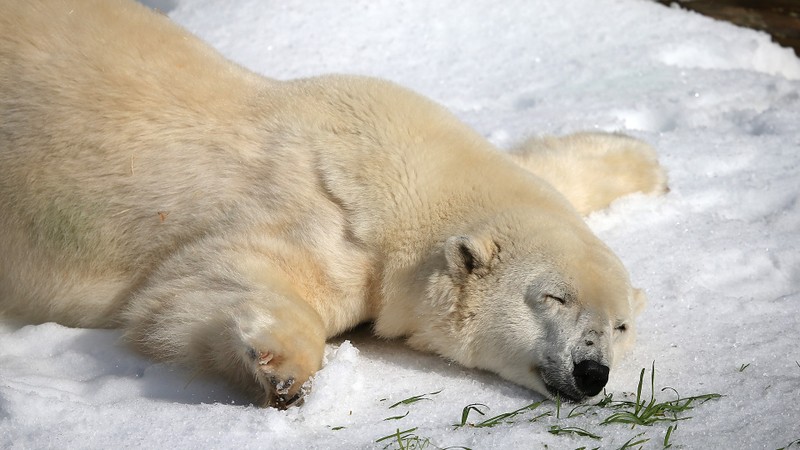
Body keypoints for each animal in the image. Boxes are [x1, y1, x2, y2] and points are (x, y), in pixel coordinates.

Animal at [0, 0, 664, 408]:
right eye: (552, 297)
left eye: (621, 325)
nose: (592, 372)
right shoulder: (330, 222)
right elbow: (193, 288)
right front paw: (283, 371)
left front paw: (646, 163)